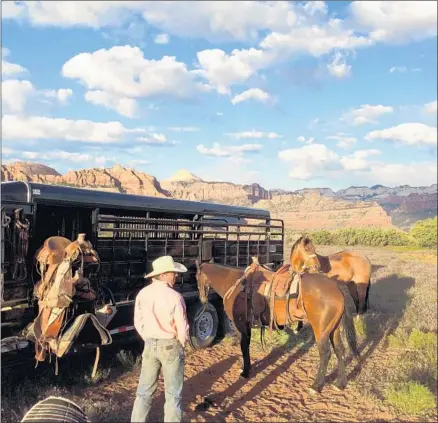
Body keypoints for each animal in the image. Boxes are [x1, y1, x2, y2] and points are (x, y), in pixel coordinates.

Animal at [195, 237, 360, 396]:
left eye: (196, 277)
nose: (202, 299)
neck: (235, 283)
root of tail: (335, 285)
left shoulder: (242, 325)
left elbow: (244, 347)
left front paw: (245, 372)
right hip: (334, 328)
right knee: (340, 349)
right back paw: (340, 383)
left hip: (321, 330)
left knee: (325, 353)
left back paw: (316, 386)